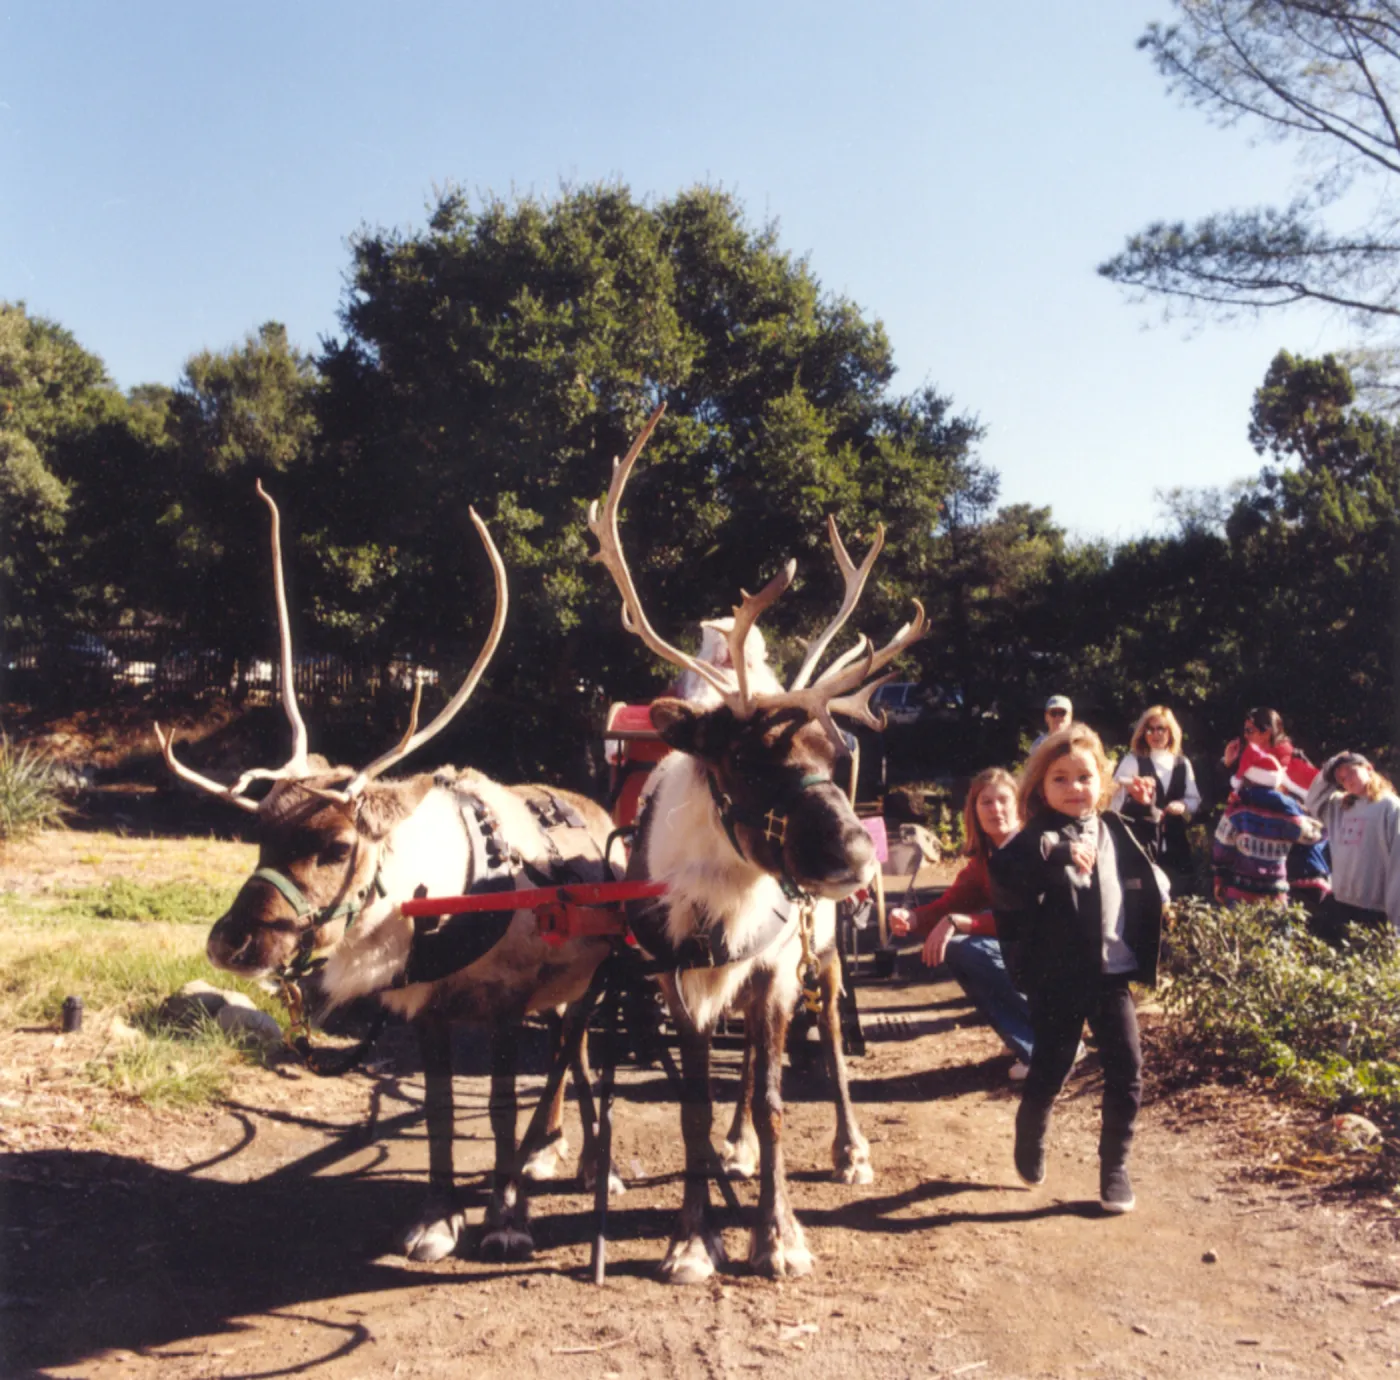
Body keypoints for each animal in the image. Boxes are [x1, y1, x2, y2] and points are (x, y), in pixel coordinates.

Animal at [157, 483, 621, 1265]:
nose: (231, 942)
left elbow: (499, 1105)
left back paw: (590, 1164)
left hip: (597, 981)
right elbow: (437, 1111)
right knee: (571, 1051)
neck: (445, 896)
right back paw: (550, 1150)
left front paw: (505, 1217)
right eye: (258, 835)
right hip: (563, 990)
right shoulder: (429, 1006)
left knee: (572, 1052)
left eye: (336, 845)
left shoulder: (505, 1000)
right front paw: (438, 1216)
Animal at [588, 405, 926, 1283]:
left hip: (821, 954)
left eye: (837, 756)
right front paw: (691, 1237)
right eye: (744, 759)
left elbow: (776, 1099)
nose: (860, 859)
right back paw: (736, 1150)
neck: (726, 890)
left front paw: (778, 1233)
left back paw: (848, 1148)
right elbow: (696, 1105)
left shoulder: (776, 966)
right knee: (740, 1068)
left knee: (830, 1036)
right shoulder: (678, 976)